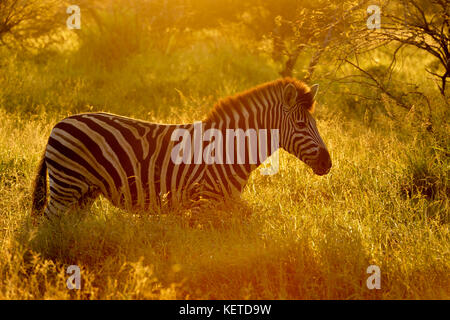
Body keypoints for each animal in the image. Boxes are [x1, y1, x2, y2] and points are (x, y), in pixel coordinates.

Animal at [31, 78, 330, 219]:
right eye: (301, 124)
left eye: (315, 123)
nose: (328, 163)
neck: (231, 148)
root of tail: (59, 124)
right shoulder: (203, 202)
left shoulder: (227, 202)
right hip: (66, 187)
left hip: (84, 193)